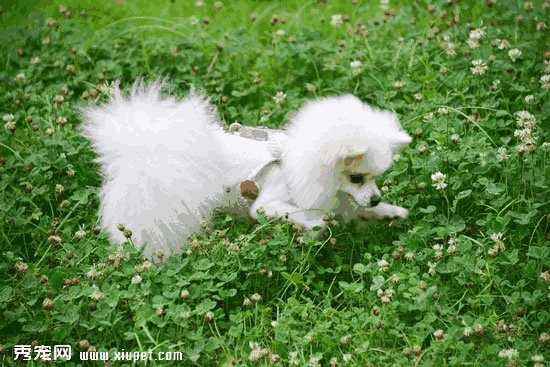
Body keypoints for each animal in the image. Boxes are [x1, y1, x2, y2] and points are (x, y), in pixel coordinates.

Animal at [81, 83, 410, 262]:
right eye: (356, 178)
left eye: (376, 178)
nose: (376, 198)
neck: (295, 165)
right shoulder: (266, 205)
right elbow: (300, 217)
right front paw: (314, 226)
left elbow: (358, 212)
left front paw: (389, 212)